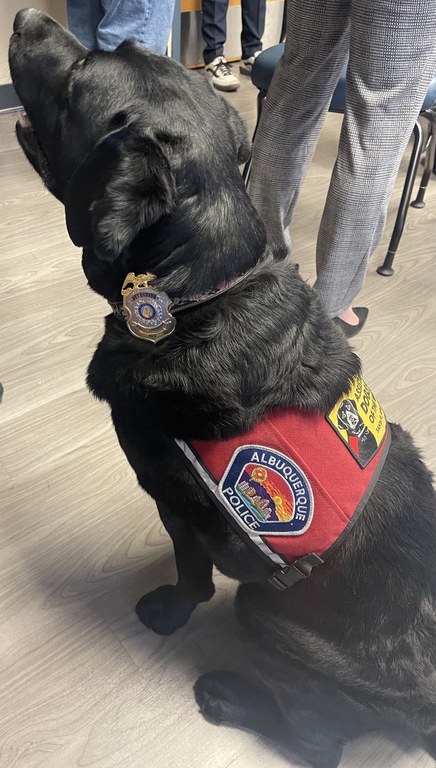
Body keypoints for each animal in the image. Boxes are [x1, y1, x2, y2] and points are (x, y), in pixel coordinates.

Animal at [9, 9, 436, 764]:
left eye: (80, 75)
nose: (28, 15)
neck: (199, 296)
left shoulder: (174, 498)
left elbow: (191, 572)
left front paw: (170, 610)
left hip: (269, 618)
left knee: (317, 744)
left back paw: (228, 696)